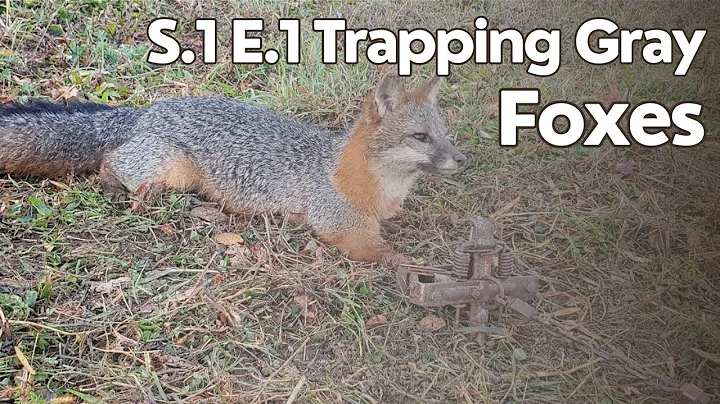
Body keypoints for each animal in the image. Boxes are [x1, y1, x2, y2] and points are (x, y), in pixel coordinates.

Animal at [0, 73, 466, 268]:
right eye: (421, 137)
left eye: (444, 135)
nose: (461, 159)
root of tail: (147, 110)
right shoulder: (340, 225)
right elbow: (383, 251)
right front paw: (414, 265)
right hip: (173, 168)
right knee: (110, 162)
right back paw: (122, 190)